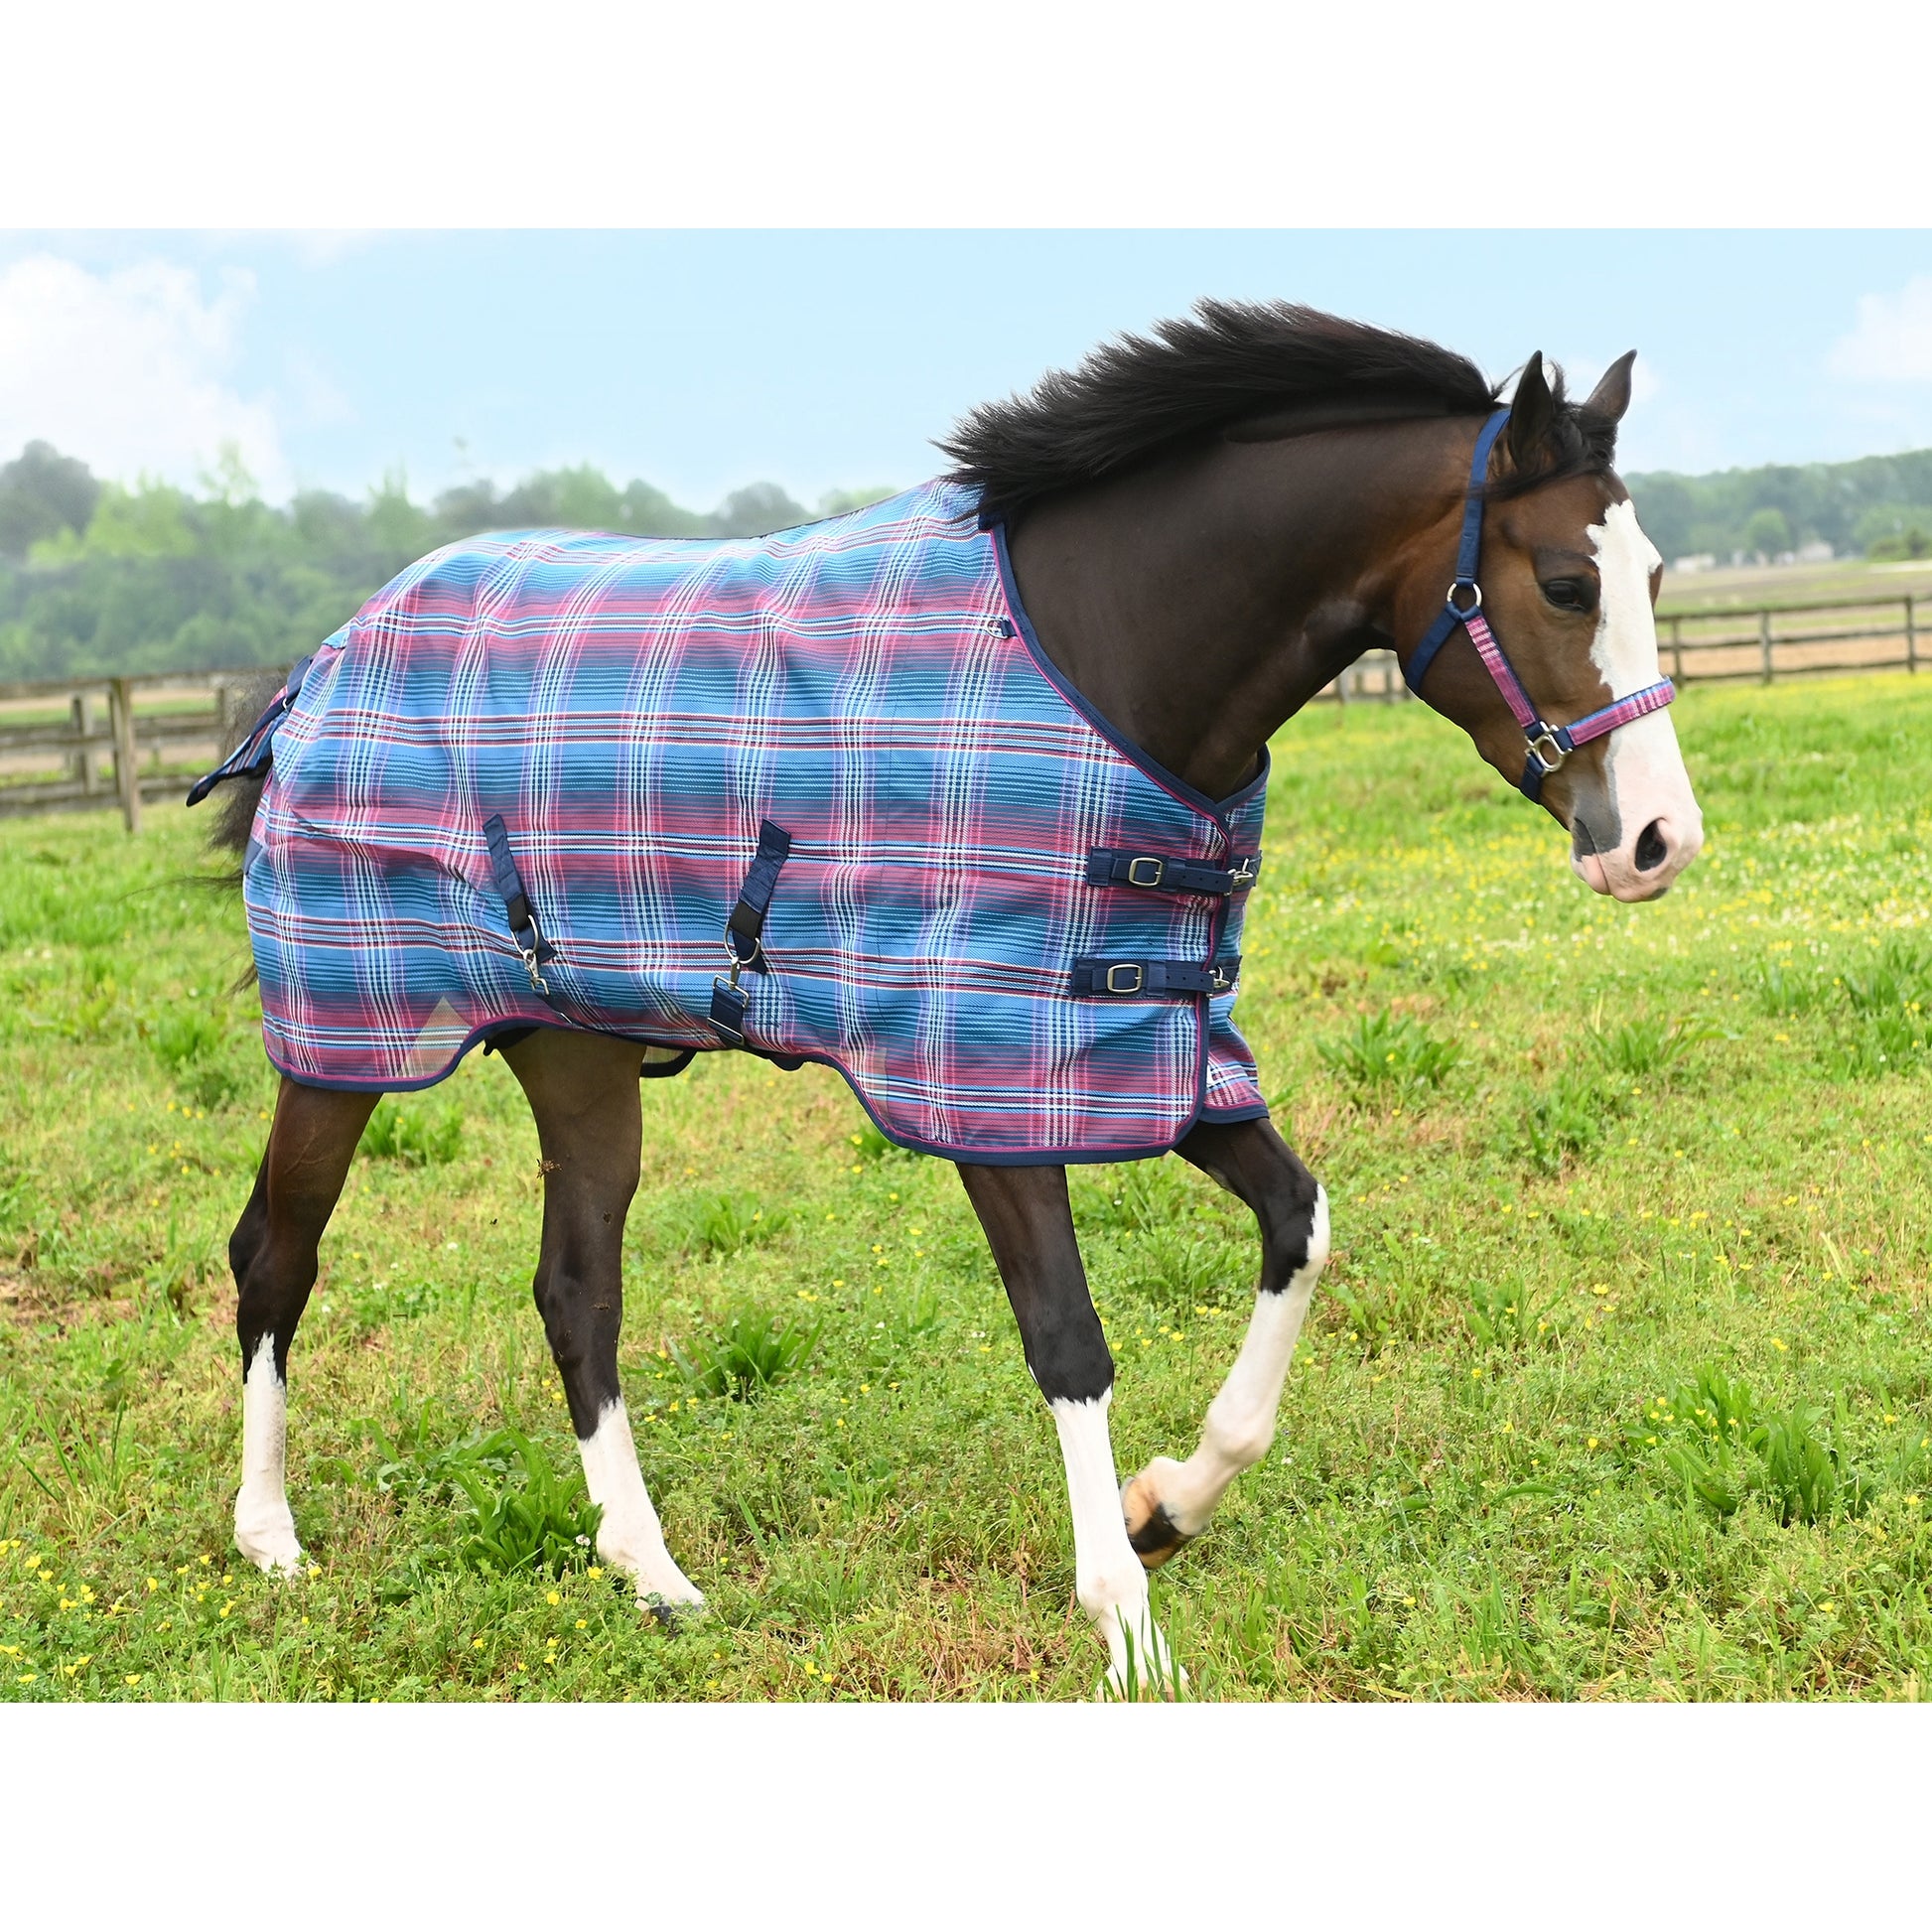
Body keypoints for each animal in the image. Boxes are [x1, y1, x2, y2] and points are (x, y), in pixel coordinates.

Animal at [193, 302, 1703, 1697]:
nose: (1657, 841)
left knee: (577, 1289)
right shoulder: (990, 1087)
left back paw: (655, 1574)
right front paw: (1125, 1625)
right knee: (276, 1254)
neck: (1106, 659)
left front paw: (1168, 1504)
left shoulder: (1149, 1048)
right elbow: (1069, 1340)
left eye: (1650, 572)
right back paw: (270, 1538)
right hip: (345, 1041)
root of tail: (315, 669)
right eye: (1567, 582)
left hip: (578, 1052)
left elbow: (1301, 1226)